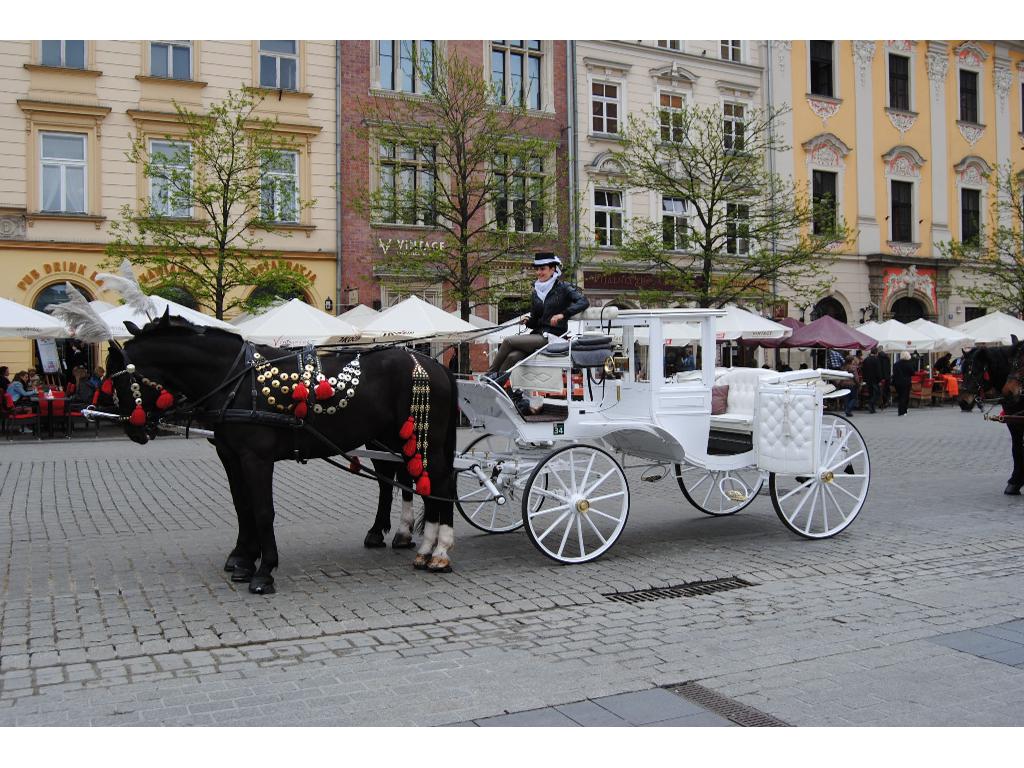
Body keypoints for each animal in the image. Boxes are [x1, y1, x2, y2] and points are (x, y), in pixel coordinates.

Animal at [105, 313, 458, 593]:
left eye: (119, 381)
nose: (133, 428)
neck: (237, 380)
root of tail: (434, 365)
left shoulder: (255, 459)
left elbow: (262, 511)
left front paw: (263, 571)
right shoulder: (231, 456)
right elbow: (243, 508)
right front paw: (243, 560)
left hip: (423, 438)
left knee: (439, 485)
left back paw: (439, 552)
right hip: (398, 439)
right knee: (411, 482)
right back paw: (415, 544)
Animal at [958, 342, 1024, 495]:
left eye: (975, 372)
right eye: (962, 371)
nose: (963, 401)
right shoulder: (1013, 422)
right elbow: (1016, 449)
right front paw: (1014, 482)